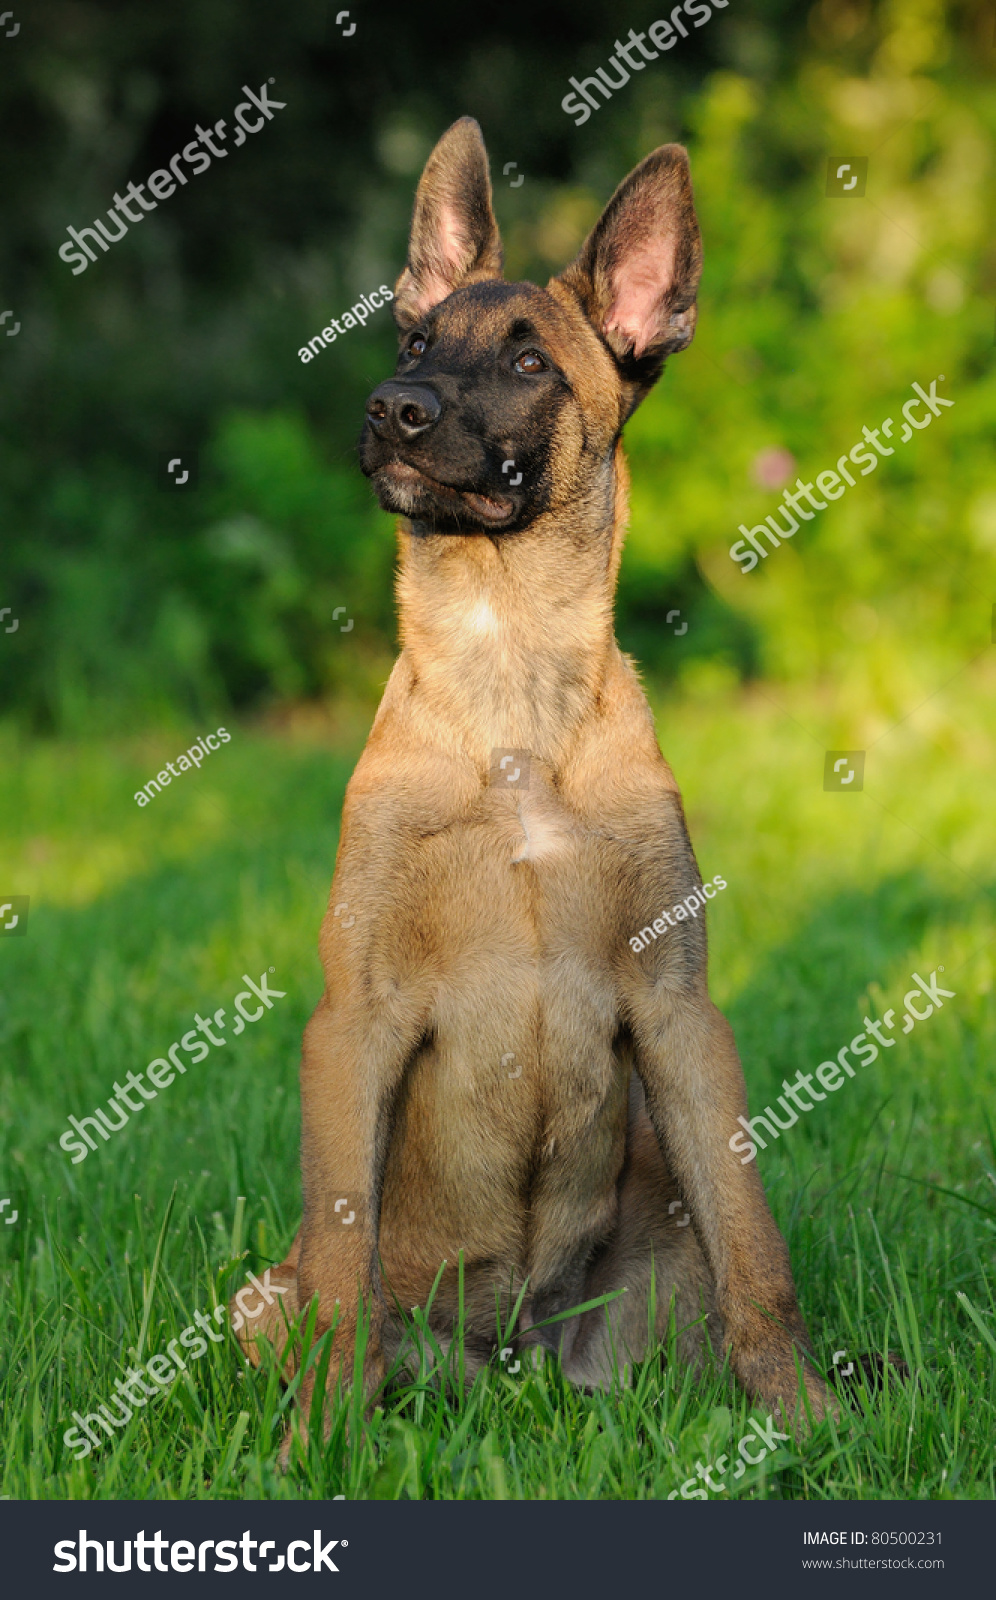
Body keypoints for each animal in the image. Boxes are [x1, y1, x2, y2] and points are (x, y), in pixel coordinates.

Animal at [238, 109, 839, 1440]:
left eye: (528, 362)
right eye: (414, 339)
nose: (392, 406)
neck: (509, 688)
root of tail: (507, 1357)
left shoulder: (679, 1015)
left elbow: (760, 1250)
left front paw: (809, 1415)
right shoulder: (353, 1022)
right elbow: (343, 1262)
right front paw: (314, 1443)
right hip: (265, 1292)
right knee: (324, 1297)